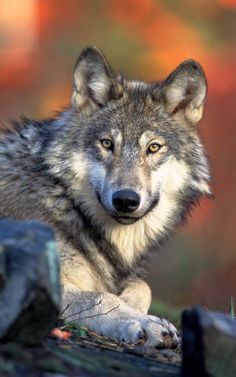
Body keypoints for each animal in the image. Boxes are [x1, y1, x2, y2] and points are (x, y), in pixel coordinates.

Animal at [0, 46, 211, 350]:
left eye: (153, 147)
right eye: (107, 144)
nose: (125, 200)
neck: (66, 201)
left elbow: (142, 286)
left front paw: (137, 310)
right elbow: (102, 297)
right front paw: (145, 323)